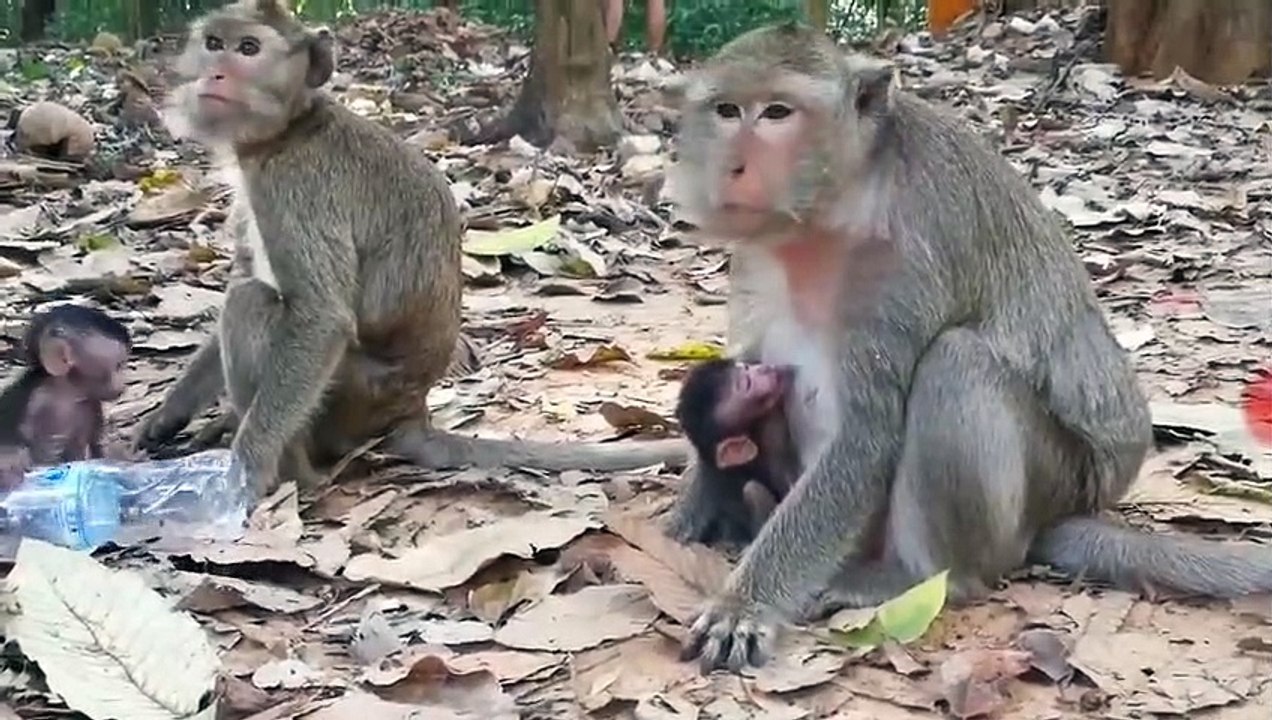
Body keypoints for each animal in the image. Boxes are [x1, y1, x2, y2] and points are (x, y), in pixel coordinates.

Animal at [135, 0, 688, 504]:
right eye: (214, 43)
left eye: (248, 49)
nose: (215, 72)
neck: (292, 128)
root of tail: (410, 411)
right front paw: (169, 413)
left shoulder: (295, 187)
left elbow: (320, 318)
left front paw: (244, 472)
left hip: (351, 398)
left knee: (251, 305)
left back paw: (292, 473)